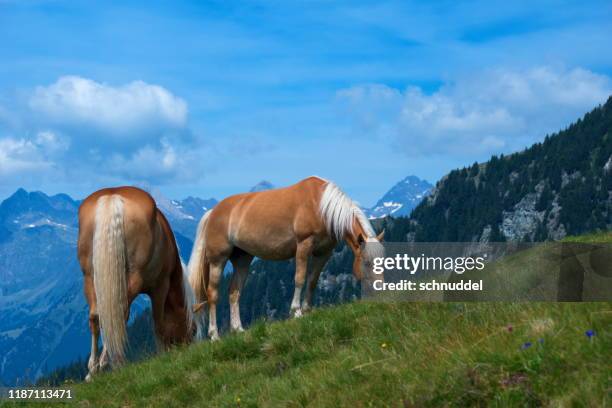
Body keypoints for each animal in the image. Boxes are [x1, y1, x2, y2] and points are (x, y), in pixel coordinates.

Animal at [76, 186, 201, 380]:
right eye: (193, 329)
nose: (185, 350)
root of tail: (113, 196)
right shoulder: (160, 286)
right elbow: (159, 324)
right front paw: (162, 354)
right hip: (132, 279)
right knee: (119, 315)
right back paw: (115, 362)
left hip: (89, 276)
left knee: (97, 317)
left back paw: (93, 370)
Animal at [189, 177, 384, 340]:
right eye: (367, 263)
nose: (380, 292)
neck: (320, 205)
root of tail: (213, 212)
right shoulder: (304, 245)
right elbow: (300, 278)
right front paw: (296, 312)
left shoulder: (323, 253)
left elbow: (312, 281)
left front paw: (307, 310)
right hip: (218, 260)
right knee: (213, 294)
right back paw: (214, 335)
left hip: (243, 259)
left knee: (234, 292)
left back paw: (238, 329)